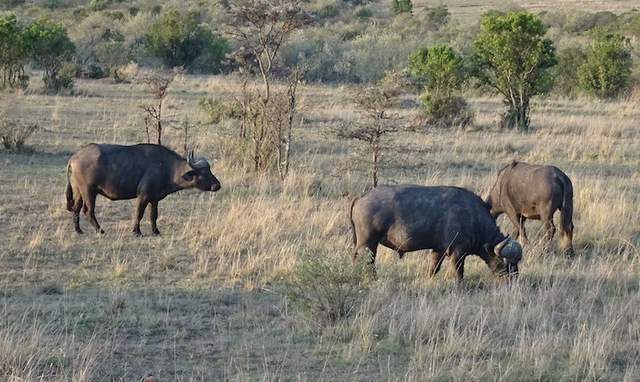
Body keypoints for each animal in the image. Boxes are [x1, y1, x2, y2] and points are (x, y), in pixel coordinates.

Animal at [65, 143, 220, 234]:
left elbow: (153, 215)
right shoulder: (143, 196)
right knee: (88, 211)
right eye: (203, 172)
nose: (217, 185)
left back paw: (78, 230)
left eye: (210, 170)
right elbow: (139, 214)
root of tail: (74, 157)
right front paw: (136, 231)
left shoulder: (155, 199)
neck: (167, 168)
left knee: (76, 208)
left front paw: (155, 231)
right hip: (89, 191)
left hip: (79, 192)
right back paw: (100, 230)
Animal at [348, 185, 524, 280]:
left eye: (516, 264)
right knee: (365, 262)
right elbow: (459, 273)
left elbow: (433, 269)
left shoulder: (438, 250)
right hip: (367, 243)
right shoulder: (457, 253)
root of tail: (361, 198)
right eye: (505, 264)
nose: (513, 280)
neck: (473, 216)